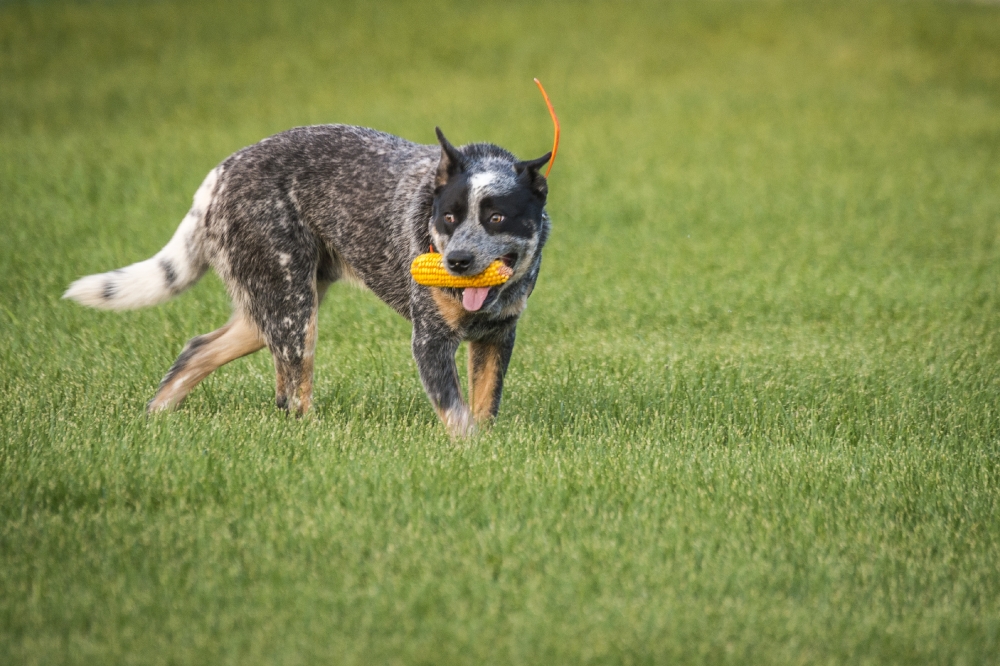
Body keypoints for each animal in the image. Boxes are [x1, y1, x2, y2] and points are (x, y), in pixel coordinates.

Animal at [63, 124, 556, 436]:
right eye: (448, 217)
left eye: (495, 218)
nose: (456, 260)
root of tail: (220, 173)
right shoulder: (430, 341)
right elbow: (457, 413)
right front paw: (470, 447)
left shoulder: (497, 337)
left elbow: (485, 405)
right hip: (293, 311)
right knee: (293, 397)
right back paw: (314, 436)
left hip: (273, 307)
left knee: (198, 348)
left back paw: (155, 418)